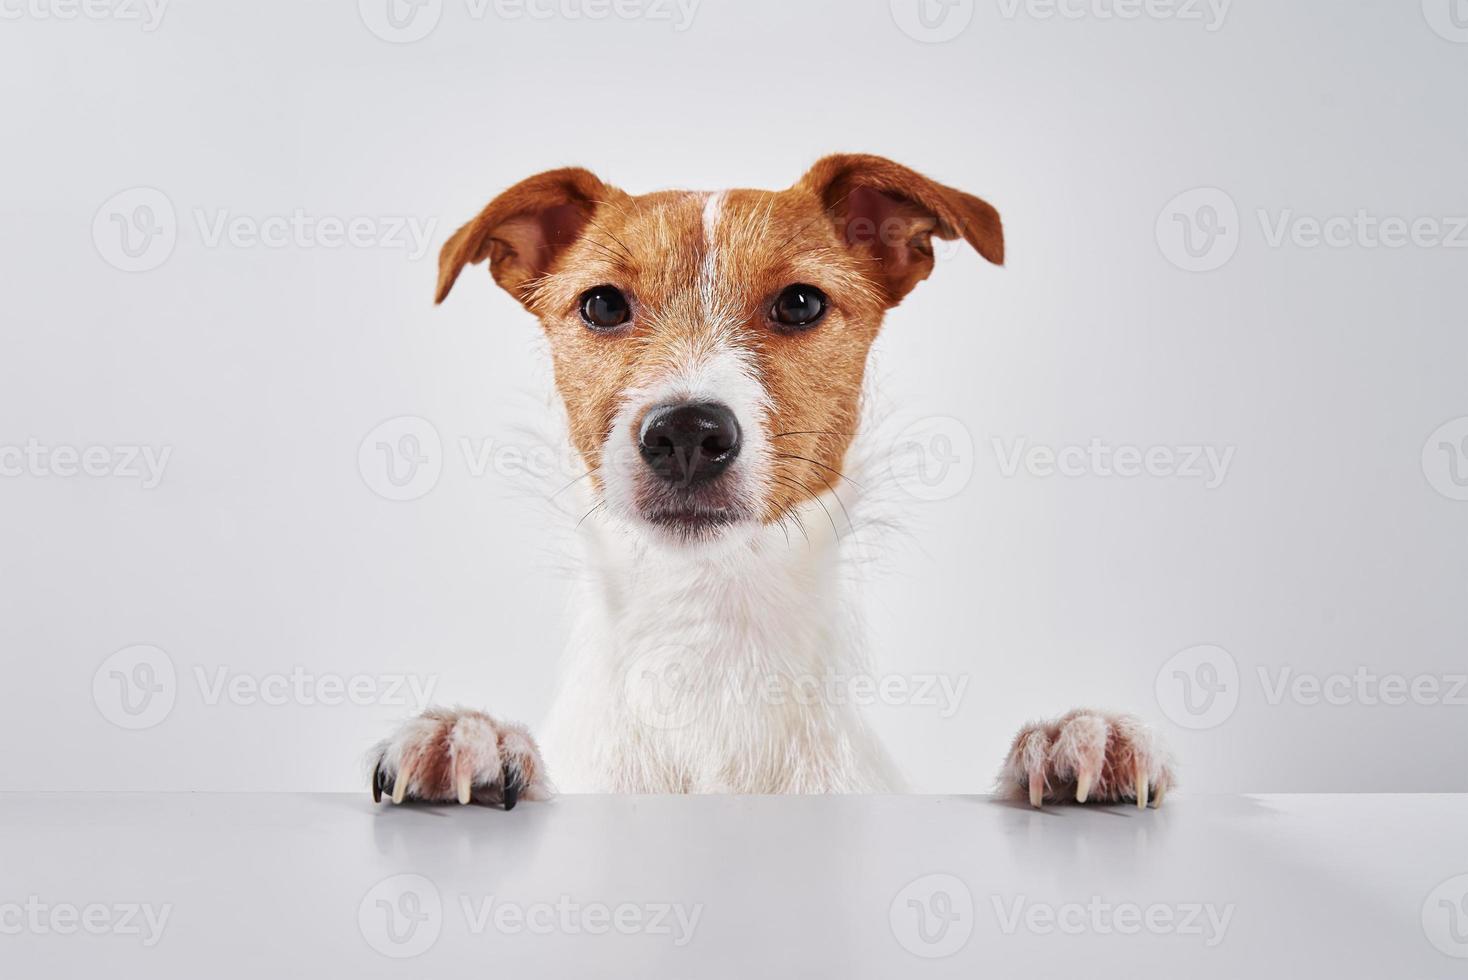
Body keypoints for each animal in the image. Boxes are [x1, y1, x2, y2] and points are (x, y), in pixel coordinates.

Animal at [372, 153, 1174, 809]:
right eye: (602, 304)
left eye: (800, 302)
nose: (686, 434)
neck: (709, 650)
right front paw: (471, 738)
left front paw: (1072, 742)